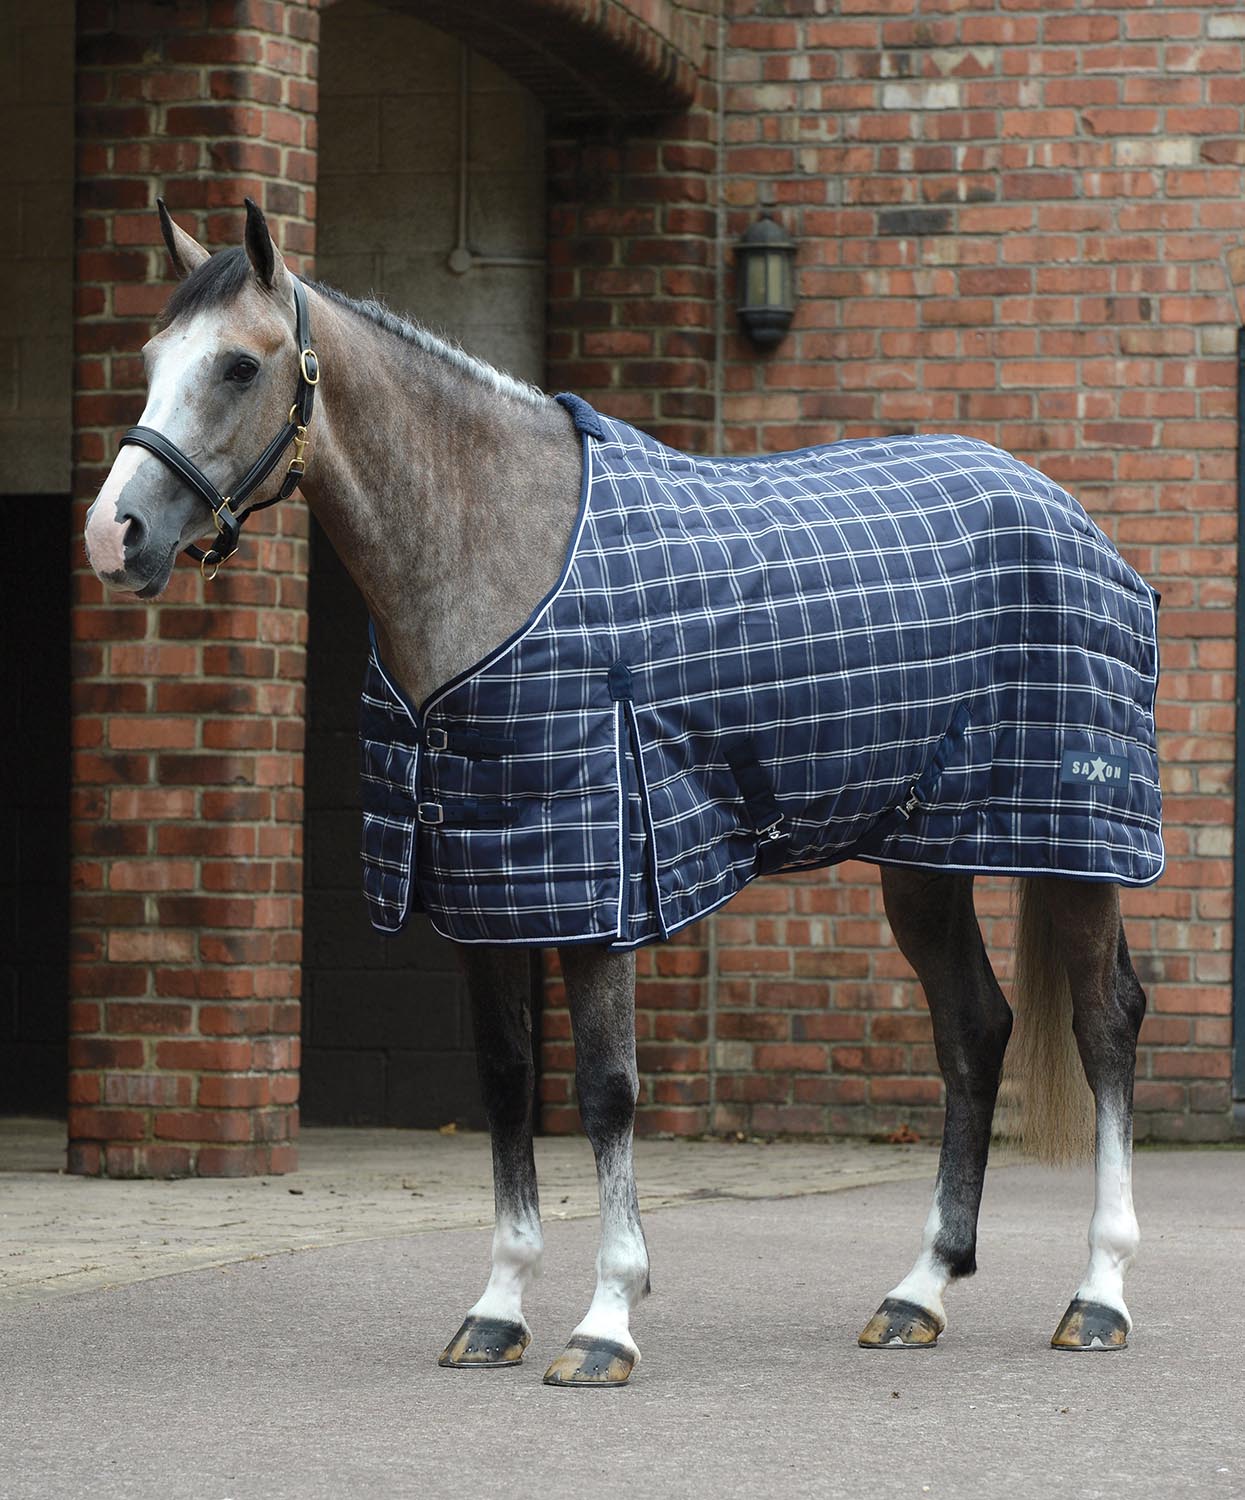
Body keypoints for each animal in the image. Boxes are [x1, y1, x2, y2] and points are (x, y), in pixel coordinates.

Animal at [84, 200, 1160, 1385]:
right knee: (972, 1028)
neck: (499, 555)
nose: (112, 536)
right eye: (150, 359)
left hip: (1080, 842)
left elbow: (606, 1090)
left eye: (238, 364)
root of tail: (1066, 512)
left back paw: (1099, 1295)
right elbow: (508, 1081)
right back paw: (916, 1293)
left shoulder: (595, 883)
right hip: (924, 856)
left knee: (1106, 1024)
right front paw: (496, 1312)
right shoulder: (485, 888)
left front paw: (605, 1321)